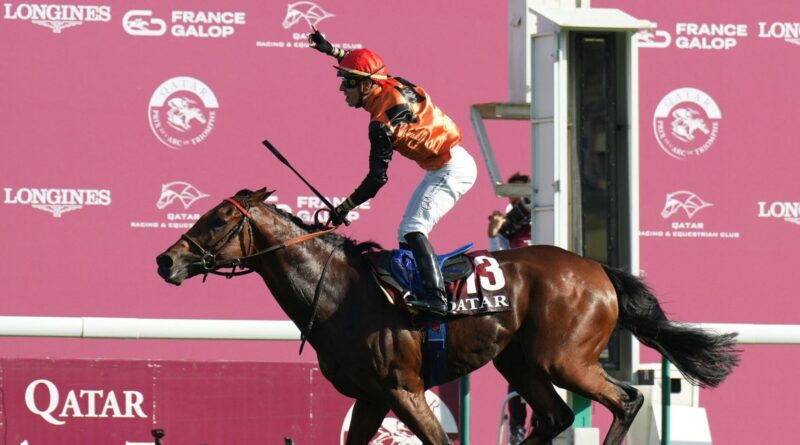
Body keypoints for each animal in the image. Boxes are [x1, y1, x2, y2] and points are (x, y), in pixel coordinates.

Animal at [155, 188, 736, 444]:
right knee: (556, 416)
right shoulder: (372, 398)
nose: (167, 260)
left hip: (564, 360)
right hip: (519, 363)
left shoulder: (403, 388)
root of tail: (597, 268)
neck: (338, 293)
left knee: (627, 399)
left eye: (219, 219)